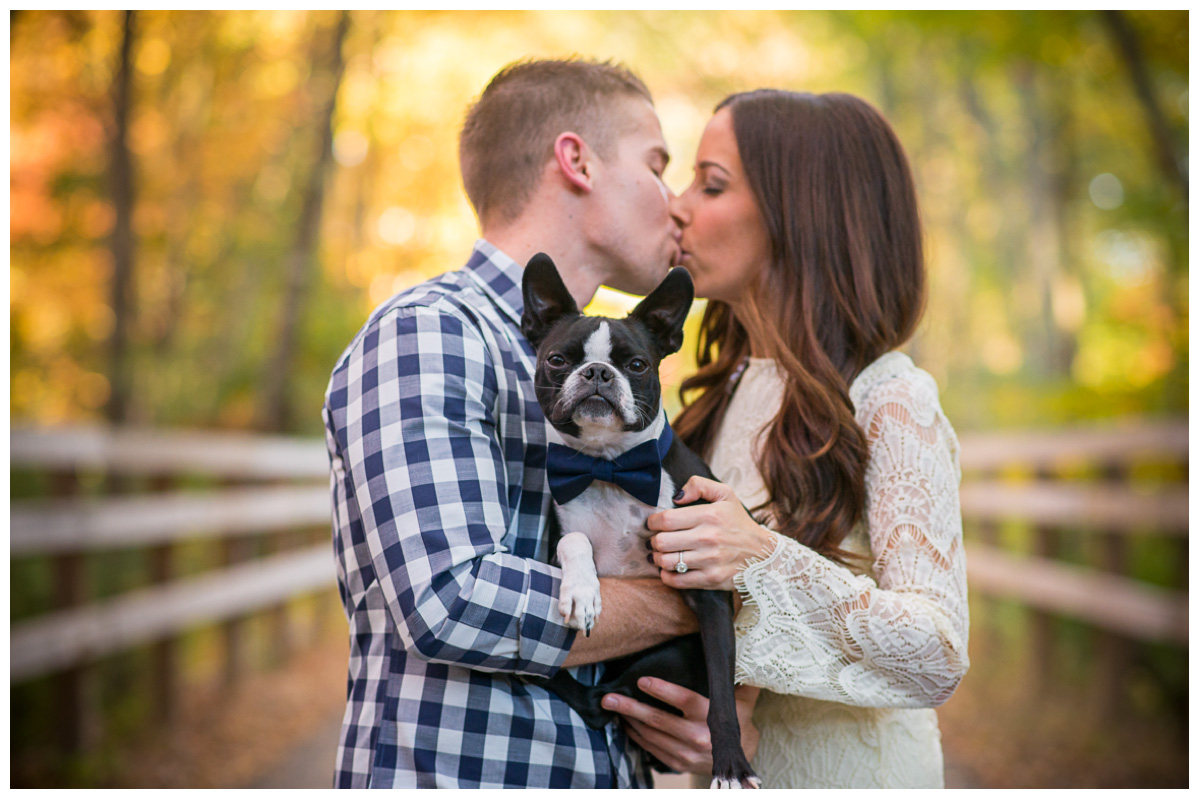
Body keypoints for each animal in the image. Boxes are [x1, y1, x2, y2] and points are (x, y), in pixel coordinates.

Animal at [518, 253, 758, 791]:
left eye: (637, 365)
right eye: (557, 360)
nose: (598, 373)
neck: (609, 467)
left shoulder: (710, 595)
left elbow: (722, 701)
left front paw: (731, 768)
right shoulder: (558, 536)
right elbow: (575, 543)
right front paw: (582, 592)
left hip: (672, 657)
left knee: (603, 700)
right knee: (596, 700)